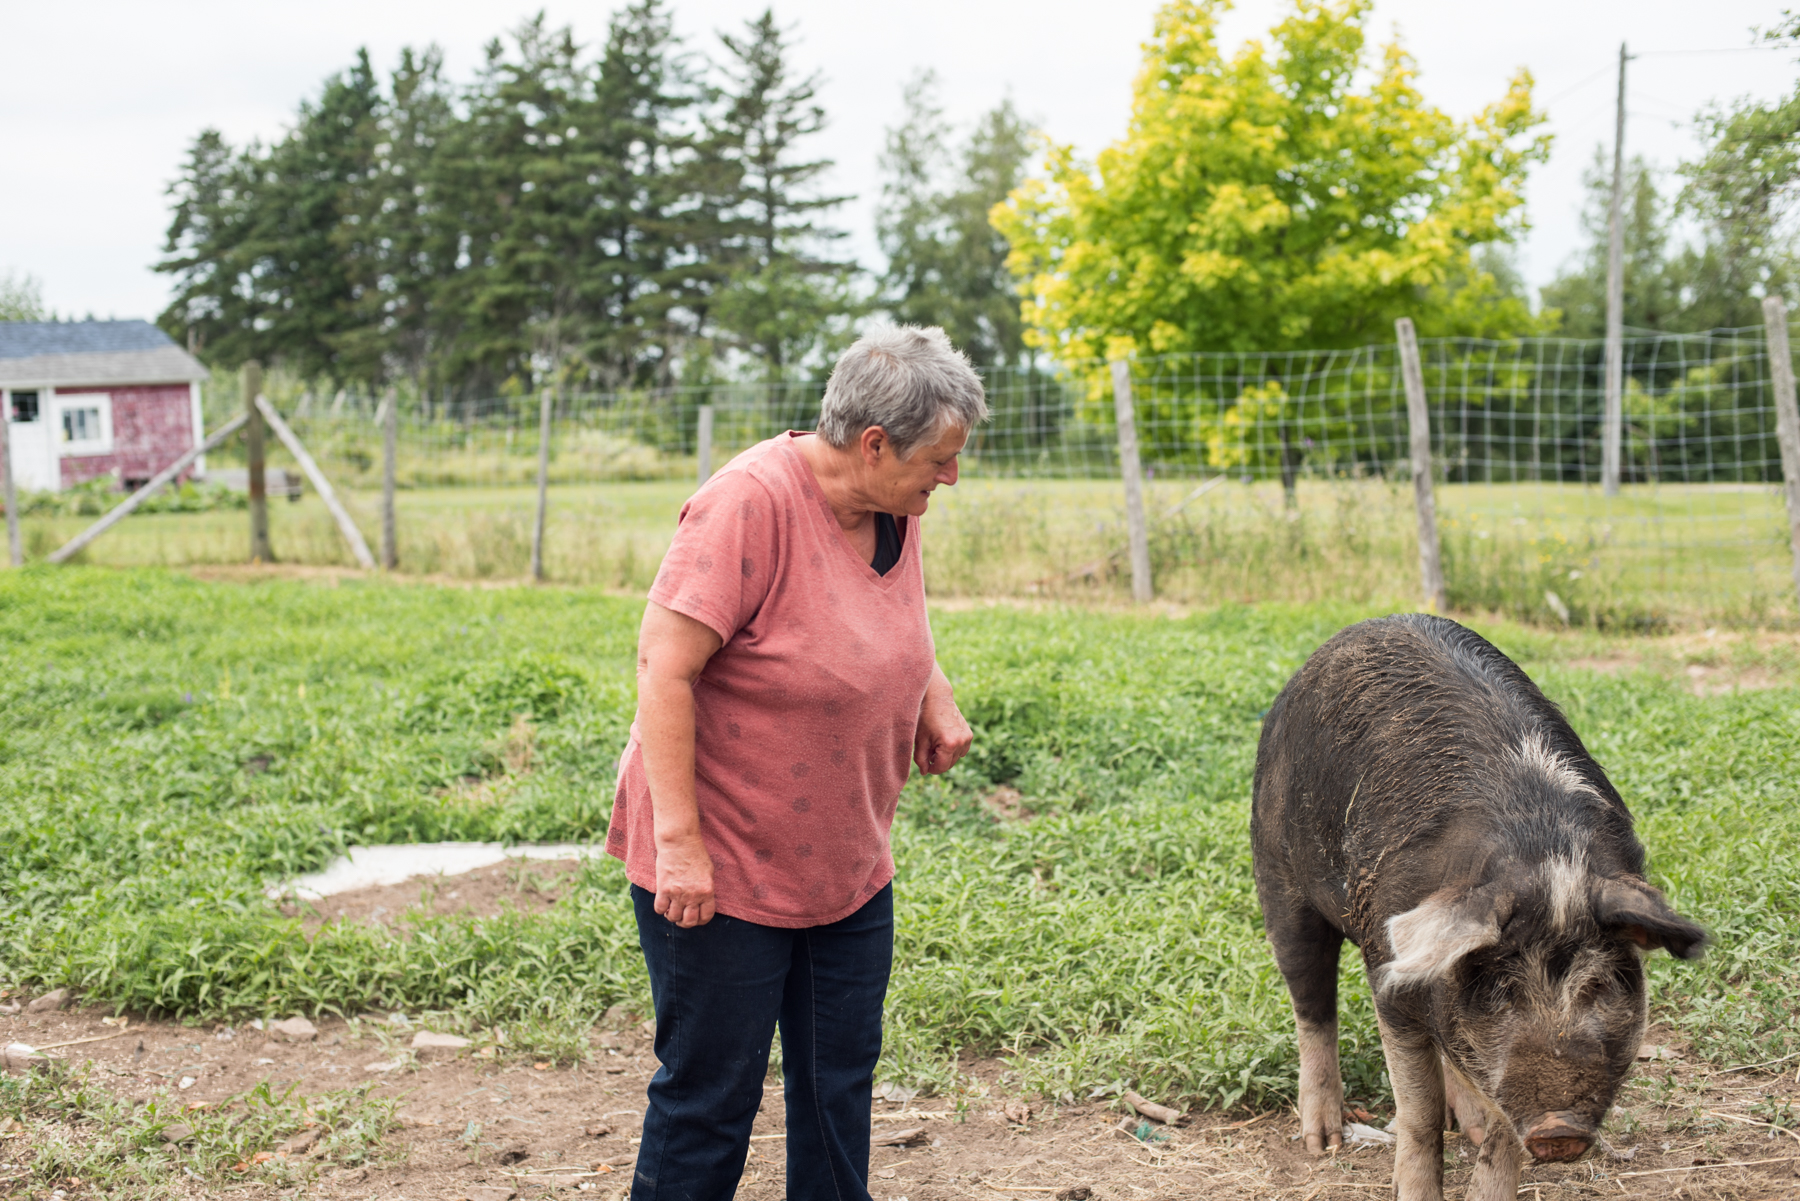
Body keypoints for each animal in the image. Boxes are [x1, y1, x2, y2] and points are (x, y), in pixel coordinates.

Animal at [1252, 619, 1699, 1201]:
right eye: (1503, 990)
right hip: (1278, 874)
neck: (1543, 853)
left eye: (1598, 985)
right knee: (1311, 1002)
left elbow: (1500, 1127)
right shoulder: (1388, 976)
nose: (1558, 1130)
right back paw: (1322, 1140)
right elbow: (1417, 1114)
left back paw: (1468, 1124)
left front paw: (1488, 1143)